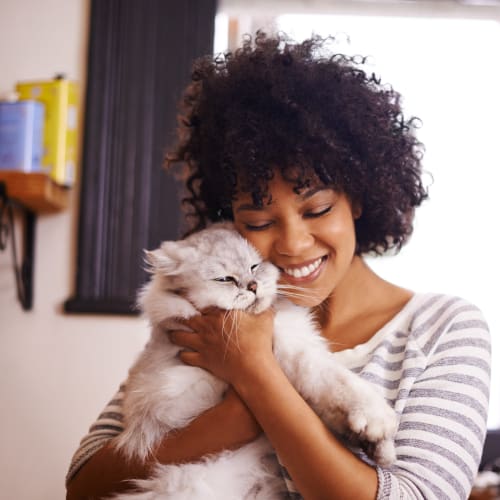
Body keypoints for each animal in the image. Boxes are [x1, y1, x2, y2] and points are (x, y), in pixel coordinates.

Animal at [111, 224, 396, 500]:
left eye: (254, 267)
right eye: (225, 279)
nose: (253, 286)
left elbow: (336, 398)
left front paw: (378, 446)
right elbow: (338, 384)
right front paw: (376, 424)